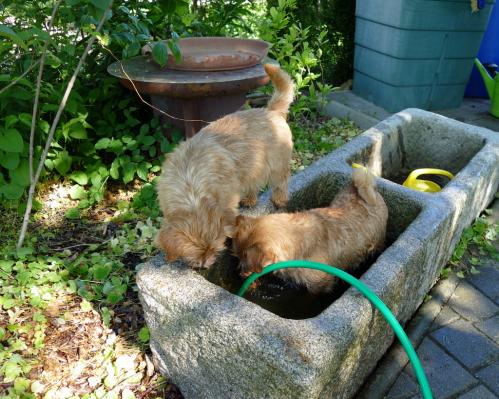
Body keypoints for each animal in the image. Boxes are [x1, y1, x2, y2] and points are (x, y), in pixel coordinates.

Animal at [156, 65, 294, 270]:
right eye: (197, 254)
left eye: (214, 248)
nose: (205, 265)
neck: (191, 188)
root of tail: (270, 110)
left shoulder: (228, 198)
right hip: (253, 166)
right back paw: (250, 199)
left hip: (278, 165)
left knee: (280, 183)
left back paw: (279, 199)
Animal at [232, 167, 388, 296]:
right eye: (237, 256)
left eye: (247, 260)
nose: (239, 273)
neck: (296, 238)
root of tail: (368, 189)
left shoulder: (319, 284)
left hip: (378, 242)